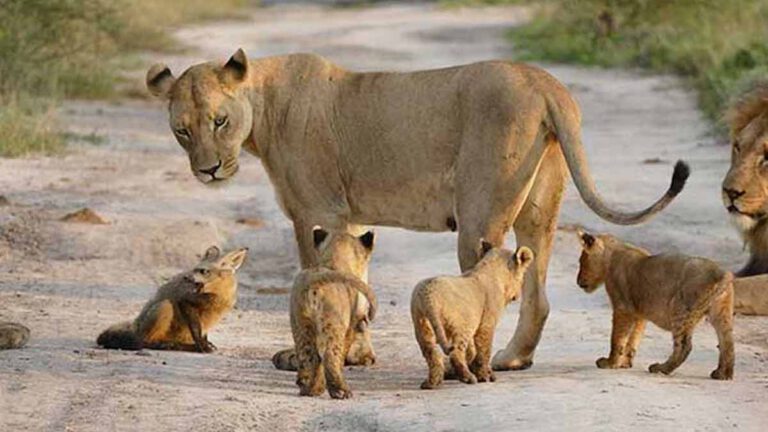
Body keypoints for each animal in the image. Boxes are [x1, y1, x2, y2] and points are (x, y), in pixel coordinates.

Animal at [146, 48, 688, 372]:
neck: (264, 108)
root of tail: (543, 82)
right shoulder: (349, 216)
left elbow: (322, 280)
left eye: (220, 120)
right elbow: (356, 280)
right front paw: (358, 353)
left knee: (490, 288)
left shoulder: (317, 213)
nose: (208, 170)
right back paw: (513, 359)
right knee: (537, 294)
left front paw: (313, 355)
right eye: (182, 130)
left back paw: (463, 366)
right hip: (539, 210)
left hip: (479, 214)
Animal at [412, 241, 532, 390]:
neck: (490, 269)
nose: (517, 295)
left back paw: (432, 383)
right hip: (461, 326)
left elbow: (472, 351)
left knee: (431, 353)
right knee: (456, 353)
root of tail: (429, 296)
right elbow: (483, 351)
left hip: (421, 324)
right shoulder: (486, 324)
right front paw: (485, 376)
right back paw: (468, 378)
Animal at [580, 231, 736, 380]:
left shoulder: (623, 308)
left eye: (582, 261)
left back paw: (661, 368)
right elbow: (634, 338)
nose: (578, 281)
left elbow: (617, 338)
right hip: (722, 313)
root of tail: (721, 274)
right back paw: (723, 374)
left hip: (680, 309)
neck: (613, 252)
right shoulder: (639, 312)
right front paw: (624, 363)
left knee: (684, 346)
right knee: (727, 343)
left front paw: (610, 363)